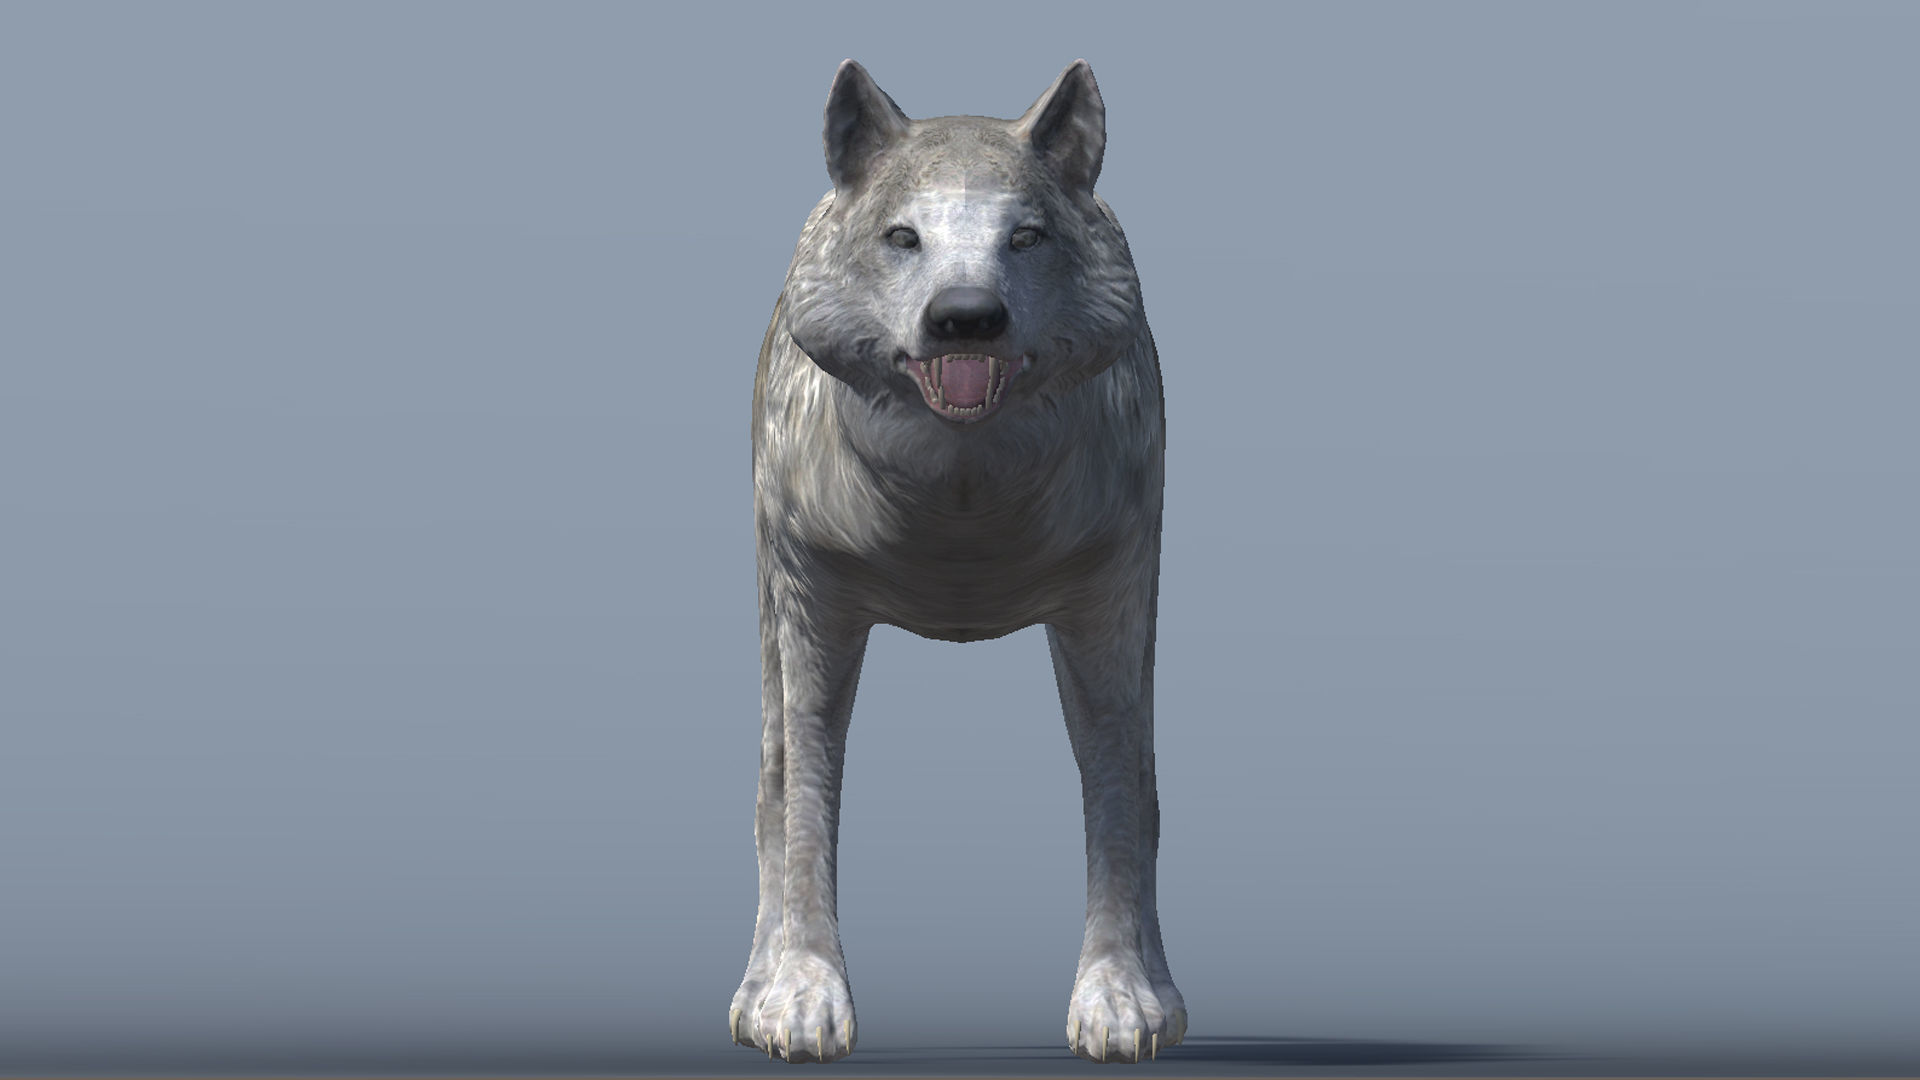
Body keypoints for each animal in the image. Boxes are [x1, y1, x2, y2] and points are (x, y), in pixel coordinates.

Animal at [732, 59, 1181, 1065]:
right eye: (904, 237)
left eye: (1026, 236)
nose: (966, 318)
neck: (960, 508)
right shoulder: (811, 601)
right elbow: (801, 790)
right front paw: (802, 998)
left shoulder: (1114, 593)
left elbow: (1123, 787)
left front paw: (1123, 999)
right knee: (771, 777)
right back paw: (754, 988)